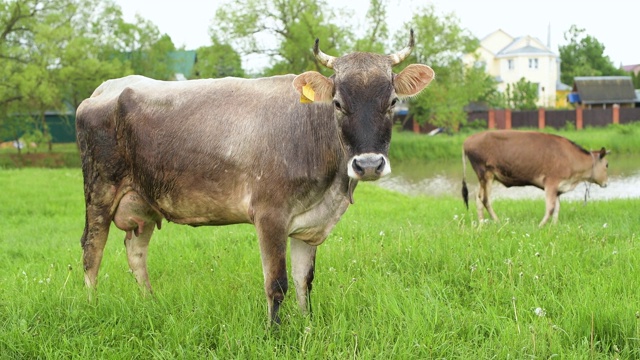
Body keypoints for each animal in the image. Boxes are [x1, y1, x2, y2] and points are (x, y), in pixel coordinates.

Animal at [75, 30, 436, 324]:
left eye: (393, 101)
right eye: (337, 102)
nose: (369, 164)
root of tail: (105, 88)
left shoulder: (309, 224)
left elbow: (305, 282)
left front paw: (307, 325)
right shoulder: (269, 214)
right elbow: (277, 284)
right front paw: (275, 333)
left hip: (143, 200)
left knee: (136, 251)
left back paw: (150, 302)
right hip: (99, 191)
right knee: (92, 250)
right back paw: (92, 306)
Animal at [462, 129, 608, 226]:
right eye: (607, 164)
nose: (606, 183)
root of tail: (468, 140)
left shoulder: (558, 187)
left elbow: (557, 208)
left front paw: (553, 226)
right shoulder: (551, 182)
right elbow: (550, 207)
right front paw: (541, 226)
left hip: (484, 178)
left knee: (478, 198)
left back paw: (482, 224)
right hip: (486, 173)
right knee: (485, 199)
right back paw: (498, 221)